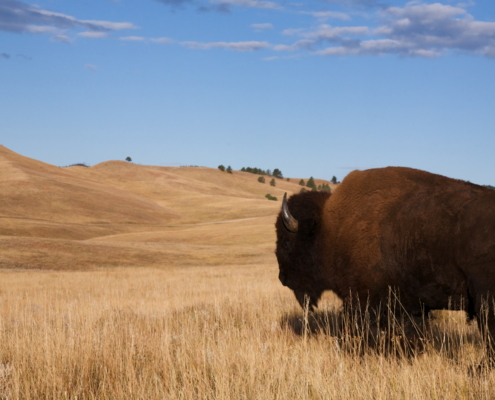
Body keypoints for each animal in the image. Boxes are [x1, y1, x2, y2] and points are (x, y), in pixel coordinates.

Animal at [278, 167, 495, 360]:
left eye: (287, 243)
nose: (282, 278)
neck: (331, 230)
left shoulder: (362, 301)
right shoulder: (410, 306)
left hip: (485, 301)